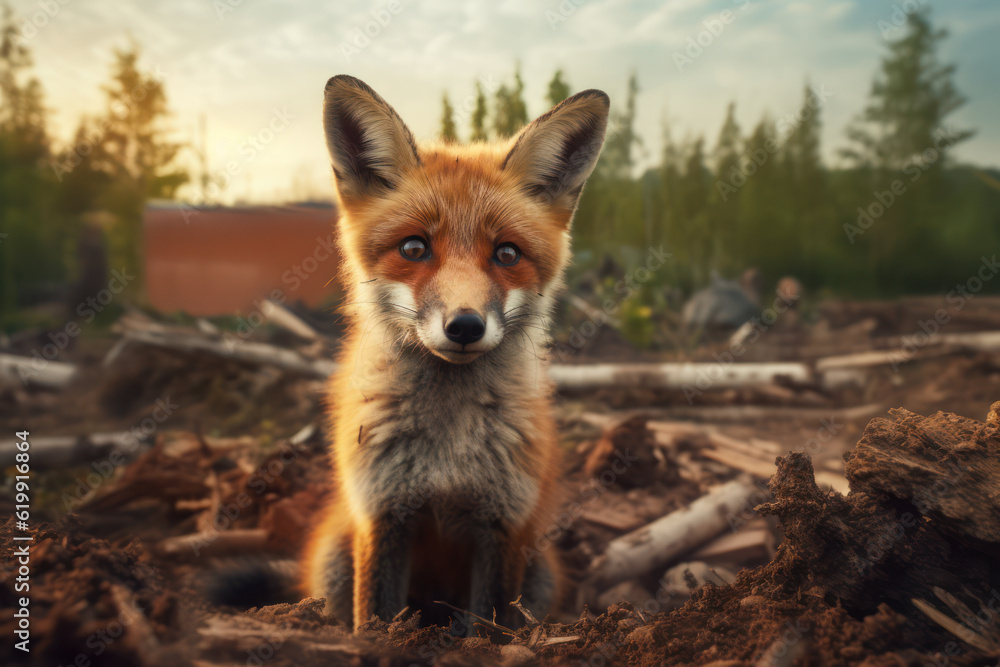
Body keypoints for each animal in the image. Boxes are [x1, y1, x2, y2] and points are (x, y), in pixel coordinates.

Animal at [293, 75, 608, 633]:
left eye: (507, 253)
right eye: (414, 248)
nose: (464, 326)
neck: (446, 458)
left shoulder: (502, 524)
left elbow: (488, 625)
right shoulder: (383, 513)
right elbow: (374, 619)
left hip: (539, 574)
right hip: (335, 558)